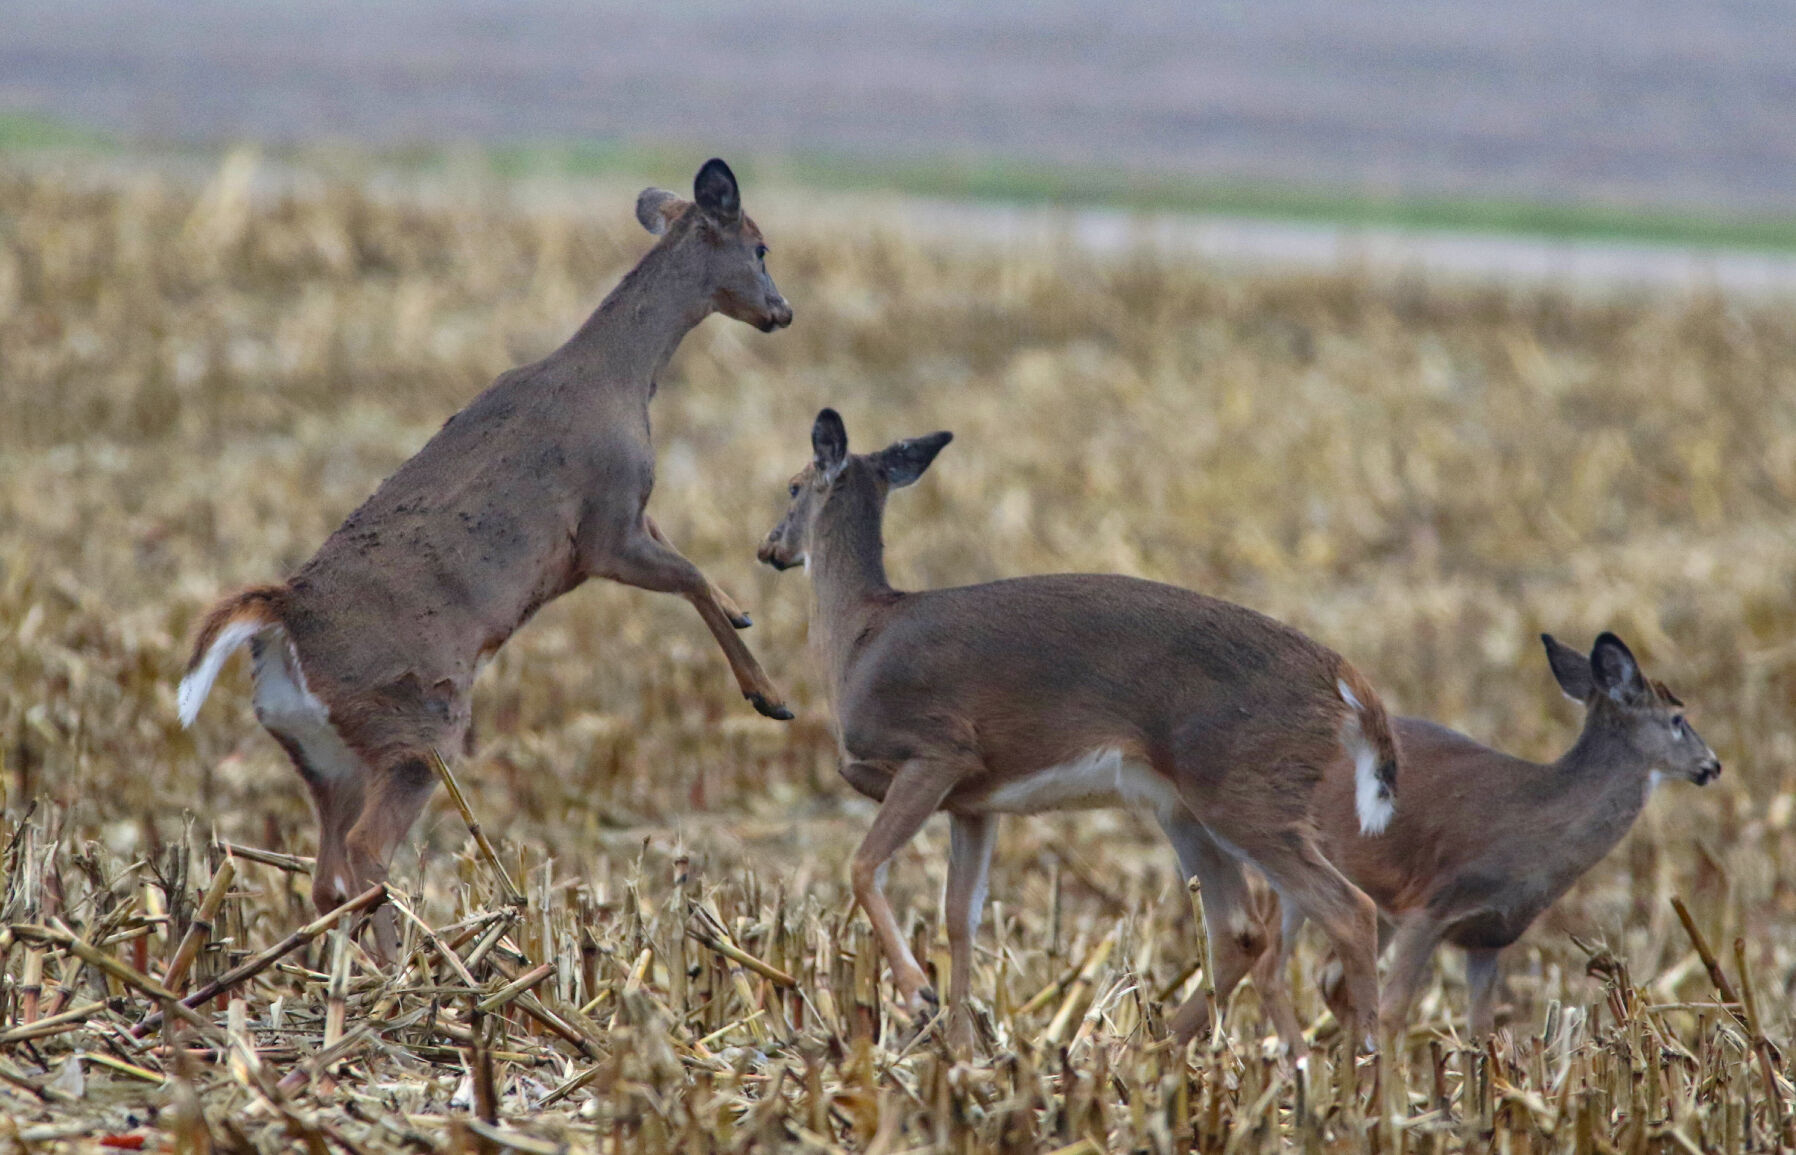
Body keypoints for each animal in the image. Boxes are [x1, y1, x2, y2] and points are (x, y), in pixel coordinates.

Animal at [176, 158, 794, 956]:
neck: (622, 379)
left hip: (322, 752)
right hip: (414, 724)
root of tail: (285, 615)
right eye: (760, 247)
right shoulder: (601, 531)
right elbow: (686, 573)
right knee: (365, 855)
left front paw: (745, 611)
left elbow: (686, 555)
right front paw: (768, 694)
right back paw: (414, 964)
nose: (783, 312)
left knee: (325, 875)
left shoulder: (631, 514)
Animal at [755, 408, 1403, 1047]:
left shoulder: (940, 749)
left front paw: (919, 994)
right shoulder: (974, 803)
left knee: (1349, 910)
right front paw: (961, 1045)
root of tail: (1344, 681)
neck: (858, 638)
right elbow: (960, 916)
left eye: (793, 486)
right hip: (1186, 805)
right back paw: (1153, 1049)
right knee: (1241, 929)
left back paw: (1363, 1062)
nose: (769, 548)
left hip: (1247, 791)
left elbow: (863, 865)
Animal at [1201, 632, 1720, 1043]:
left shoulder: (1489, 935)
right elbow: (1393, 1014)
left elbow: (1481, 1031)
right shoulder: (1430, 907)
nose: (1712, 765)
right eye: (1677, 719)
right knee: (1273, 966)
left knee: (1327, 976)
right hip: (1291, 861)